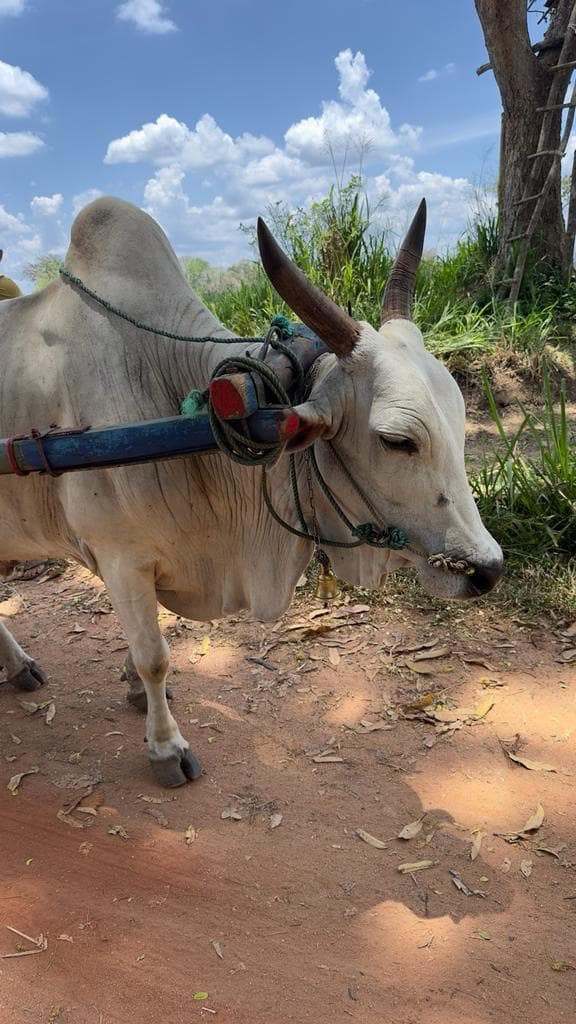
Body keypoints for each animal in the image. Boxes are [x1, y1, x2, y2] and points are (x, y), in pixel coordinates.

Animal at [0, 196, 503, 786]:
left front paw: (135, 691)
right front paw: (166, 746)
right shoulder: (121, 556)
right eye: (396, 440)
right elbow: (155, 656)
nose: (486, 569)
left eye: (460, 417)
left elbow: (145, 649)